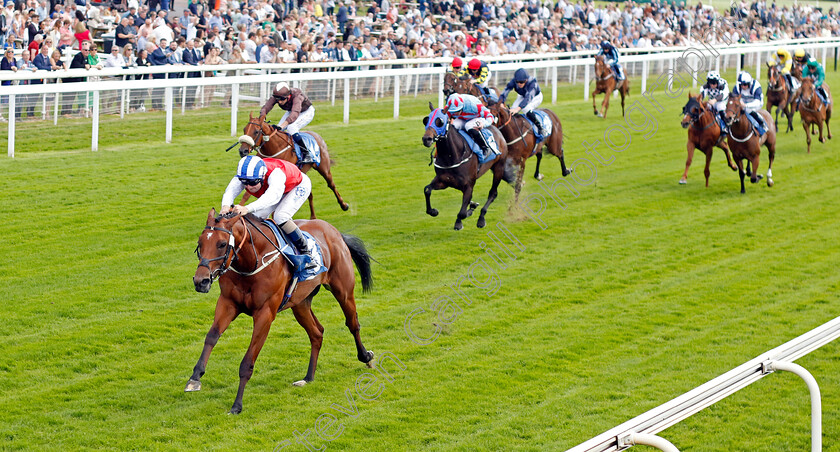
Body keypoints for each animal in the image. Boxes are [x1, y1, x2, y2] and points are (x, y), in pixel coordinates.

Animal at [190, 210, 378, 414]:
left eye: (222, 244)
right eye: (200, 243)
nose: (200, 281)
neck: (252, 261)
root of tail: (334, 231)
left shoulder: (265, 313)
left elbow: (247, 362)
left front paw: (237, 405)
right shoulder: (227, 303)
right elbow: (211, 336)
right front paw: (195, 378)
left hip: (343, 291)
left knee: (353, 324)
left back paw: (366, 357)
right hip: (300, 303)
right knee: (317, 333)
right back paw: (308, 377)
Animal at [420, 102, 512, 230]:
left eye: (440, 121)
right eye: (426, 120)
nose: (426, 139)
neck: (451, 156)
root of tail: (496, 129)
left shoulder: (468, 185)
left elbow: (463, 213)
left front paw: (463, 217)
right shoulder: (443, 181)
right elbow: (427, 189)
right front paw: (433, 211)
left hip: (499, 168)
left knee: (493, 193)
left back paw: (481, 219)